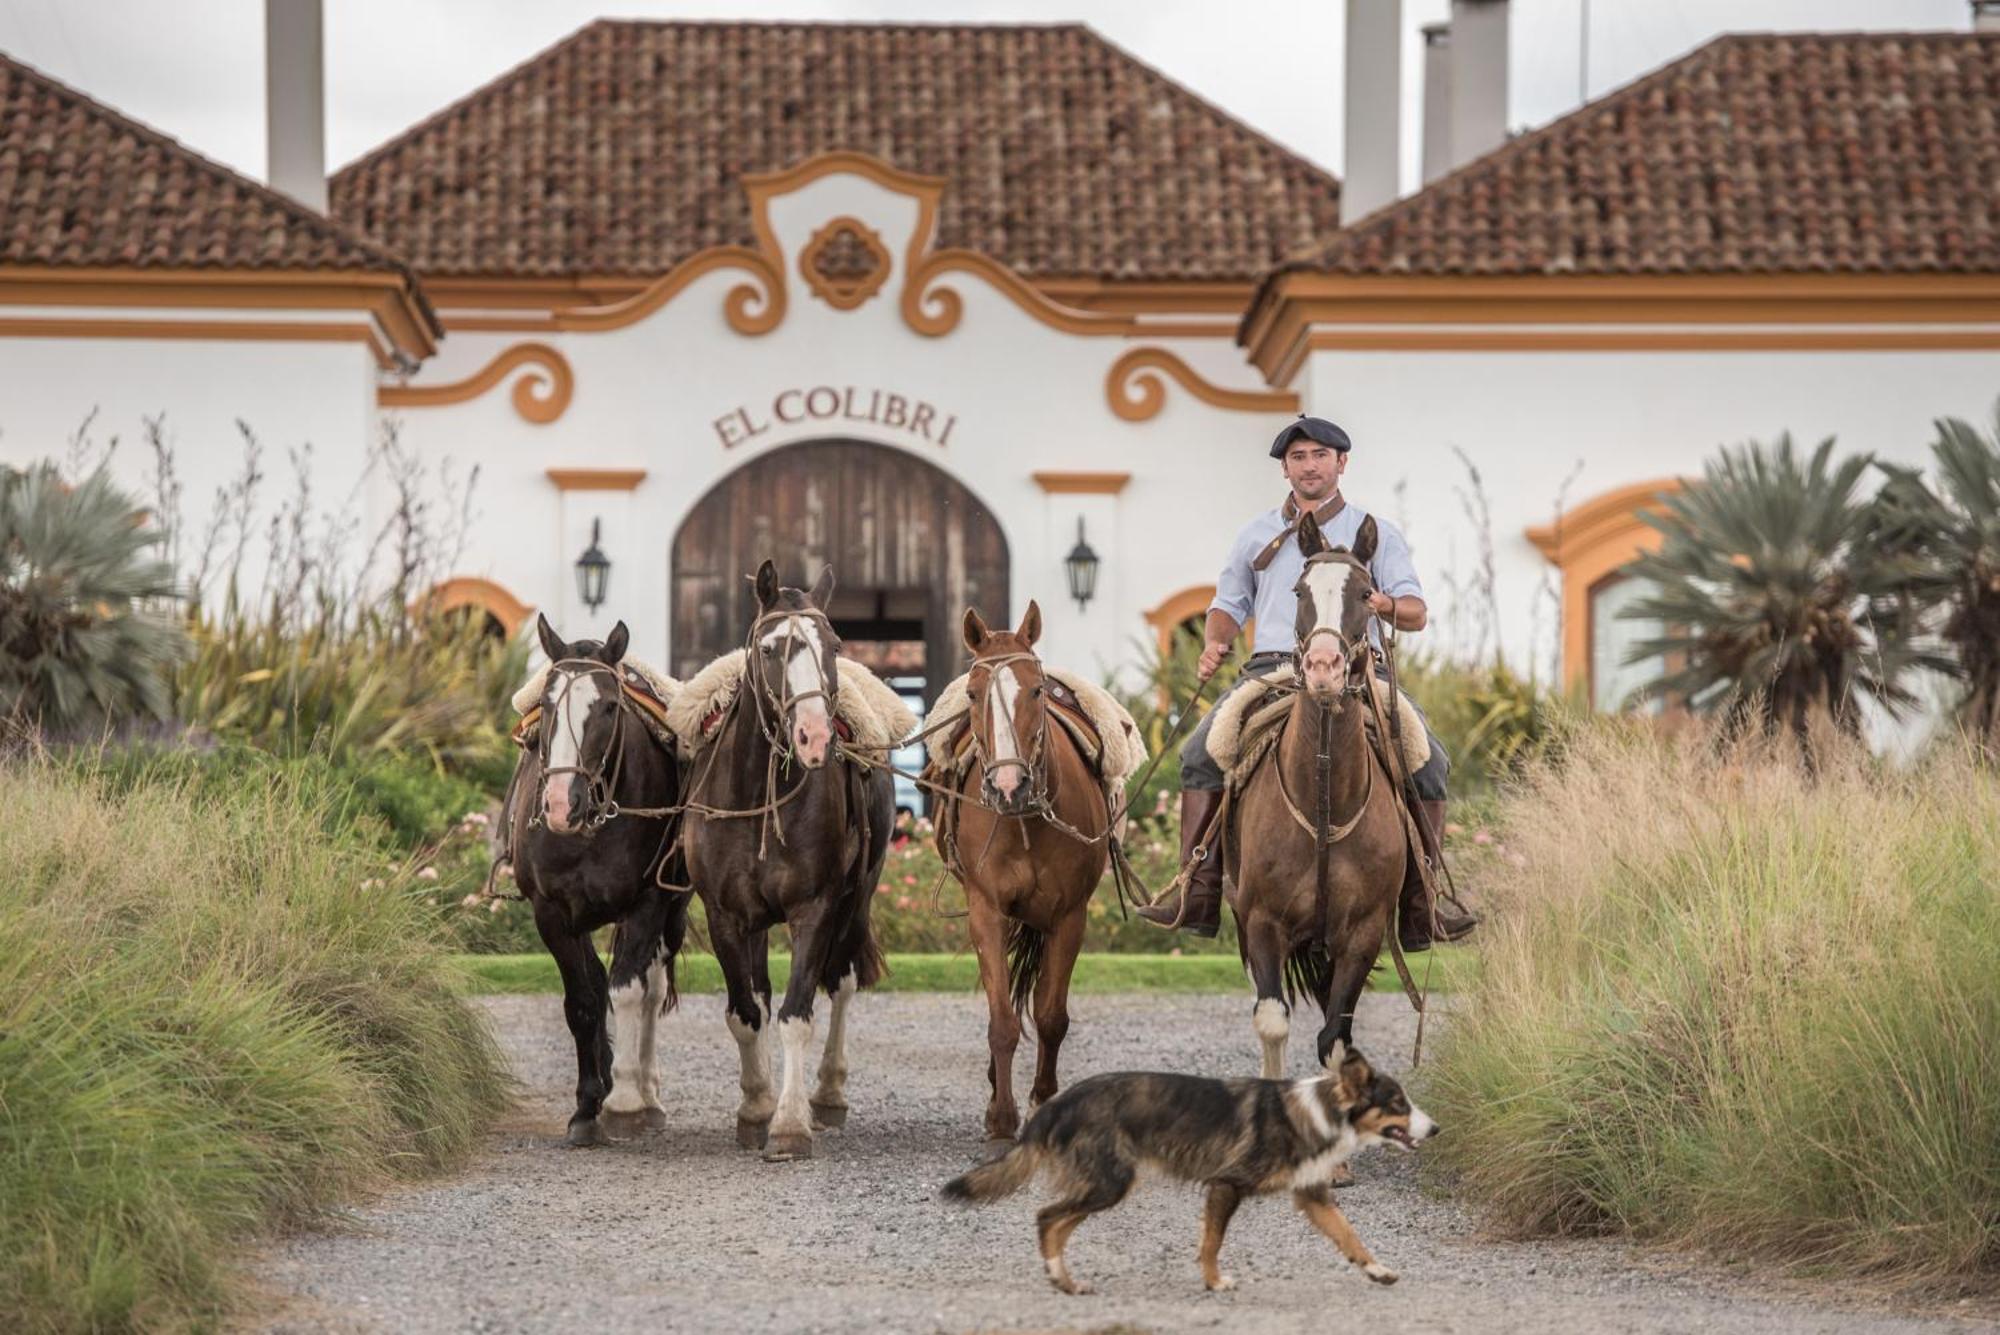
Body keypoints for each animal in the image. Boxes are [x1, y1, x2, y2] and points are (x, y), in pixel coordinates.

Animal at [512, 615, 692, 1151]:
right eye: (548, 704)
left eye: (610, 707)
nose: (558, 804)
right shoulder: (552, 913)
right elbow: (584, 1001)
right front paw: (589, 1105)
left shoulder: (648, 904)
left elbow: (629, 992)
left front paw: (627, 1102)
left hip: (672, 913)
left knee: (651, 986)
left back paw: (646, 1091)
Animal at [940, 603, 1112, 1135]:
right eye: (973, 694)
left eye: (1035, 691)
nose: (1008, 785)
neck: (1025, 820)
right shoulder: (987, 912)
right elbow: (1002, 1020)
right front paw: (1002, 1114)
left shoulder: (1069, 917)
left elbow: (1052, 1016)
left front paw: (1042, 1100)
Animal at [1216, 515, 1424, 1079]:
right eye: (1299, 590)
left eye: (1367, 593)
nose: (1325, 667)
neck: (1324, 799)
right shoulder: (1261, 922)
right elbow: (1272, 1023)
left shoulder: (1363, 933)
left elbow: (1335, 1039)